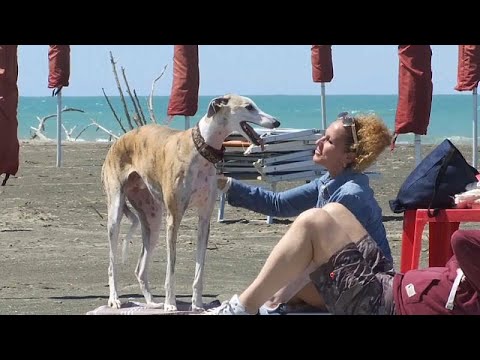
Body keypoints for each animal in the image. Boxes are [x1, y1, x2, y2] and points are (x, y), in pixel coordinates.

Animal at [101, 94, 282, 310]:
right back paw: (115, 299)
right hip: (116, 211)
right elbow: (171, 268)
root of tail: (119, 139)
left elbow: (199, 269)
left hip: (152, 218)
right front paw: (170, 304)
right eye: (249, 107)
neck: (200, 149)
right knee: (111, 262)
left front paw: (197, 305)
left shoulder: (204, 218)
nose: (276, 122)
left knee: (140, 268)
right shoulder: (174, 217)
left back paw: (152, 303)